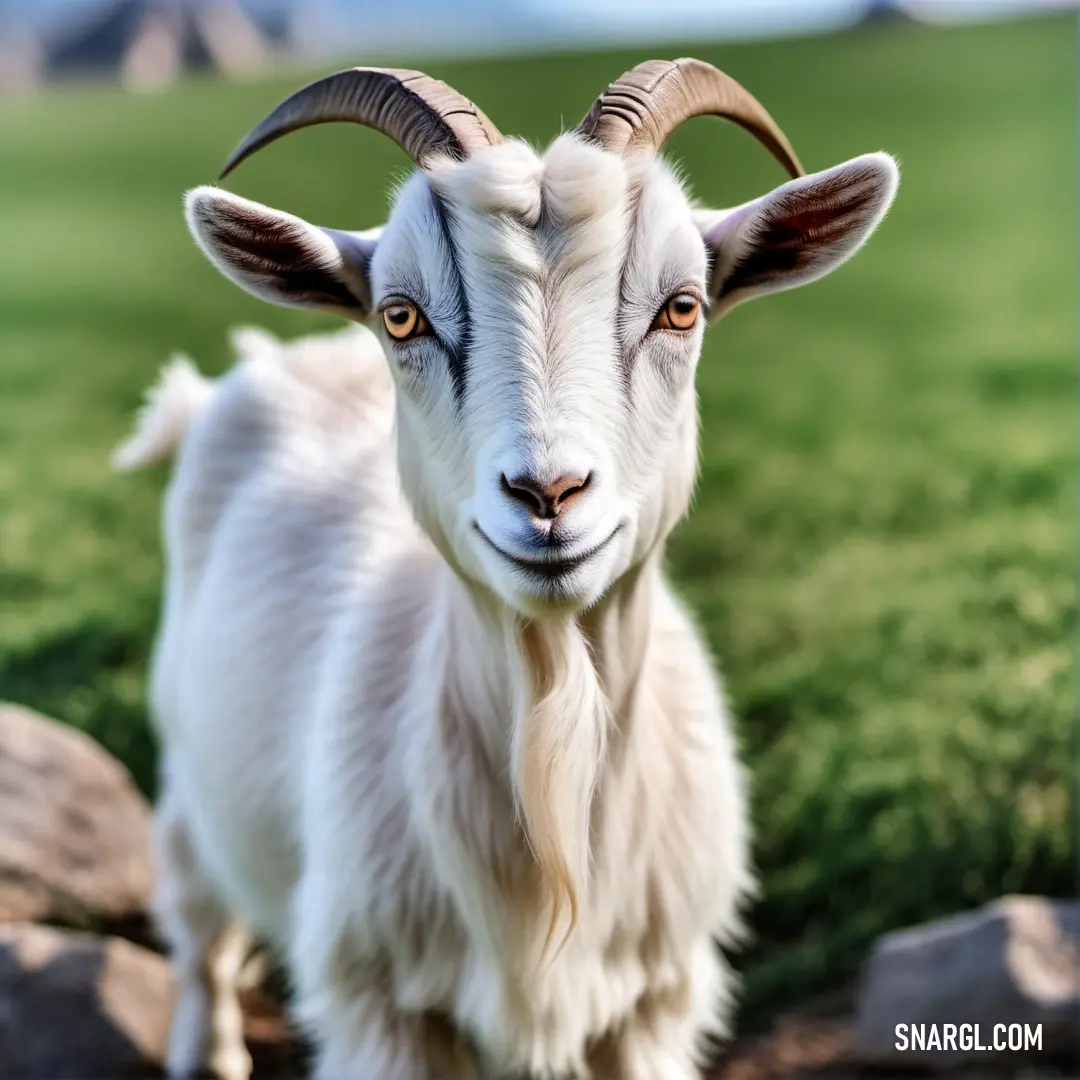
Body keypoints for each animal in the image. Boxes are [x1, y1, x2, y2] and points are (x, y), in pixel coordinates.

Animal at [113, 61, 898, 1080]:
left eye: (682, 307)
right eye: (400, 314)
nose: (548, 491)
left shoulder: (652, 1005)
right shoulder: (384, 1008)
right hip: (186, 767)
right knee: (199, 929)